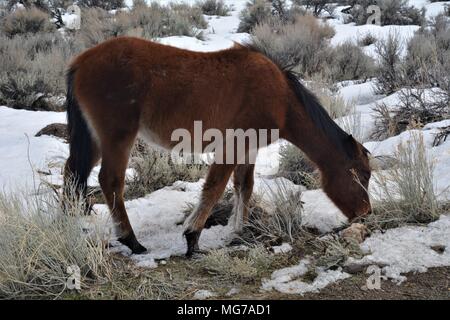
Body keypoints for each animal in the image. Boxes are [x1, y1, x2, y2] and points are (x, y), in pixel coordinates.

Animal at [64, 36, 372, 256]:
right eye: (359, 175)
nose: (366, 213)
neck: (281, 99)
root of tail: (80, 62)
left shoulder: (249, 147)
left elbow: (244, 187)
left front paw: (238, 232)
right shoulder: (234, 144)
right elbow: (215, 188)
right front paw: (193, 238)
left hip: (94, 140)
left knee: (72, 175)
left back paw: (71, 227)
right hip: (118, 137)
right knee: (110, 180)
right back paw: (131, 241)